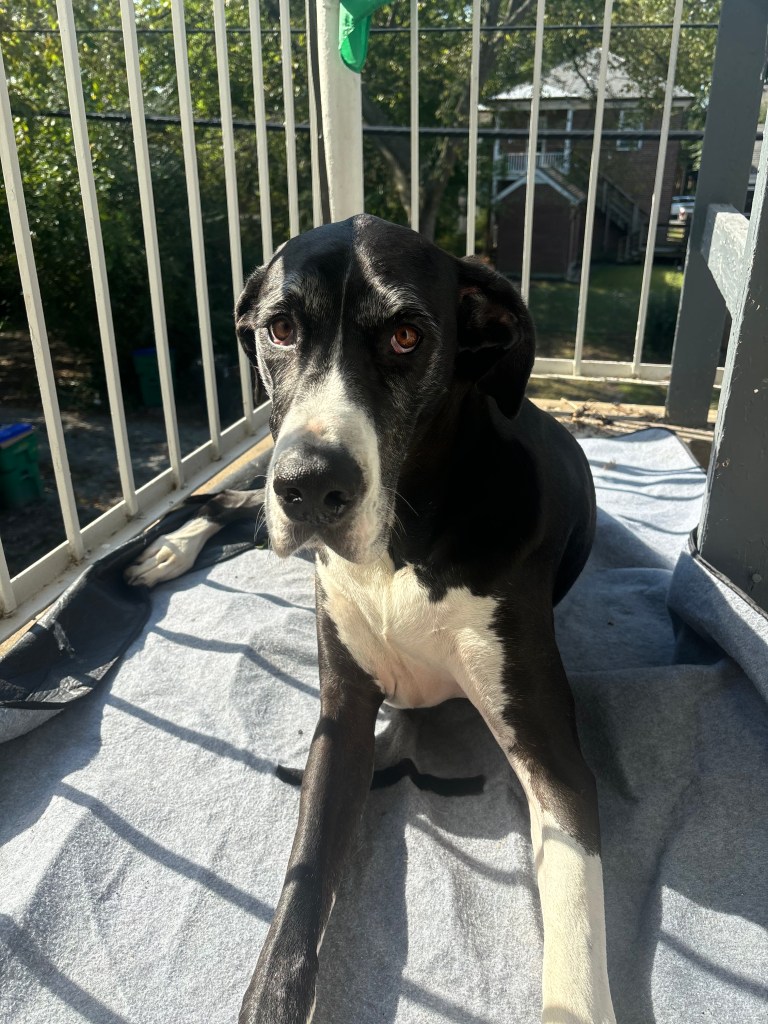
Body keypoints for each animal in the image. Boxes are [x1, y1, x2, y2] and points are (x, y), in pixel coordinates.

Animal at [126, 215, 616, 1024]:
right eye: (281, 329)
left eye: (407, 337)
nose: (310, 485)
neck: (401, 546)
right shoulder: (343, 714)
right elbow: (301, 884)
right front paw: (270, 998)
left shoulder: (552, 756)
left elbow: (575, 925)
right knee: (235, 502)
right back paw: (170, 545)